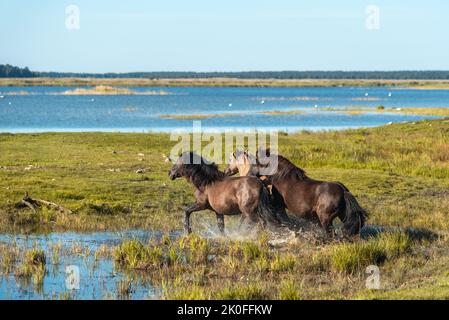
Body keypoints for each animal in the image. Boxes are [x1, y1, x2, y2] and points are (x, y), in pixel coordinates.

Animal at [226, 149, 366, 236]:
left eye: (255, 163)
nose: (248, 175)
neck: (279, 178)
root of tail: (342, 190)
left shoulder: (278, 207)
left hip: (325, 219)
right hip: (342, 215)